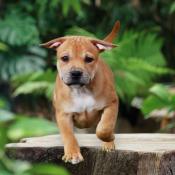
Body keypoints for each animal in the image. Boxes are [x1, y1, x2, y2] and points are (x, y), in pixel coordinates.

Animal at [41, 20, 120, 164]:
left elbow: (105, 127)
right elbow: (68, 135)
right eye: (65, 58)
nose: (76, 73)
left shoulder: (112, 103)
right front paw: (72, 153)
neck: (81, 90)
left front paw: (109, 139)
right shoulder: (63, 114)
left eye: (89, 59)